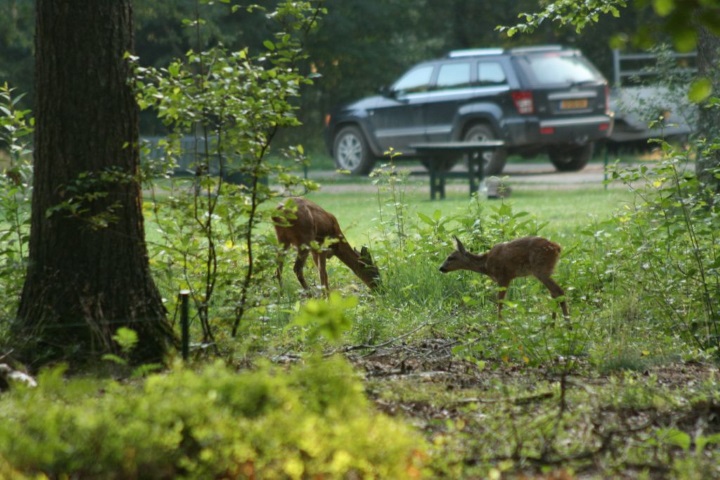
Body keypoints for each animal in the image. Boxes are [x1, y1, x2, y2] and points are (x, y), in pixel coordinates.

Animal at [438, 235, 568, 318]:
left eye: (450, 257)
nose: (441, 268)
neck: (486, 264)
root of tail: (557, 248)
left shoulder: (504, 277)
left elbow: (500, 301)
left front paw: (499, 323)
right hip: (546, 270)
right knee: (554, 293)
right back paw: (553, 325)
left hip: (540, 270)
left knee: (558, 291)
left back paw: (567, 325)